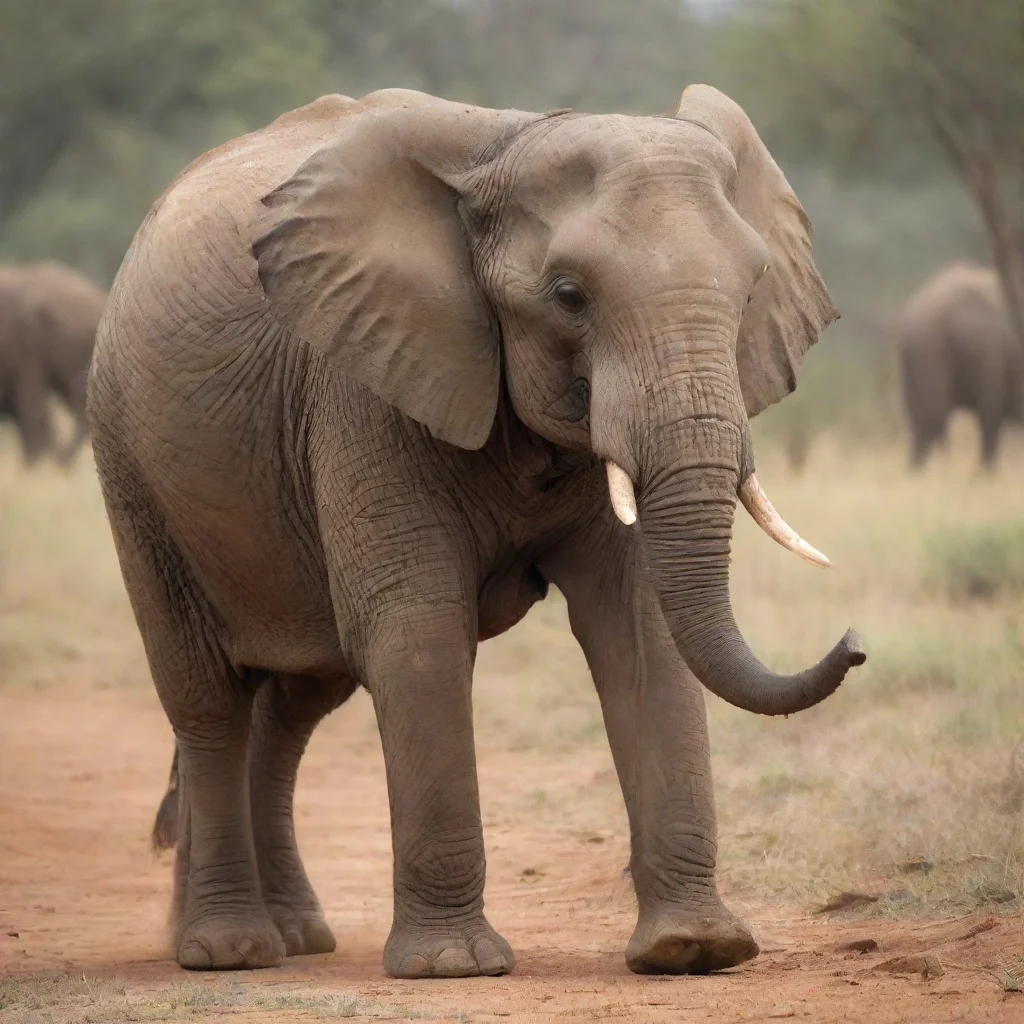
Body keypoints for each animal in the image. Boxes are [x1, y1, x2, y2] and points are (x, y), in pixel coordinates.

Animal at [87, 85, 866, 979]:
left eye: (751, 288)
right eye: (568, 294)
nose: (854, 642)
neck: (510, 142)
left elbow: (639, 631)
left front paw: (695, 950)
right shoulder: (363, 384)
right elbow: (418, 634)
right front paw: (452, 965)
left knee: (291, 707)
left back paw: (294, 938)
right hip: (132, 467)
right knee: (208, 699)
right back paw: (229, 951)